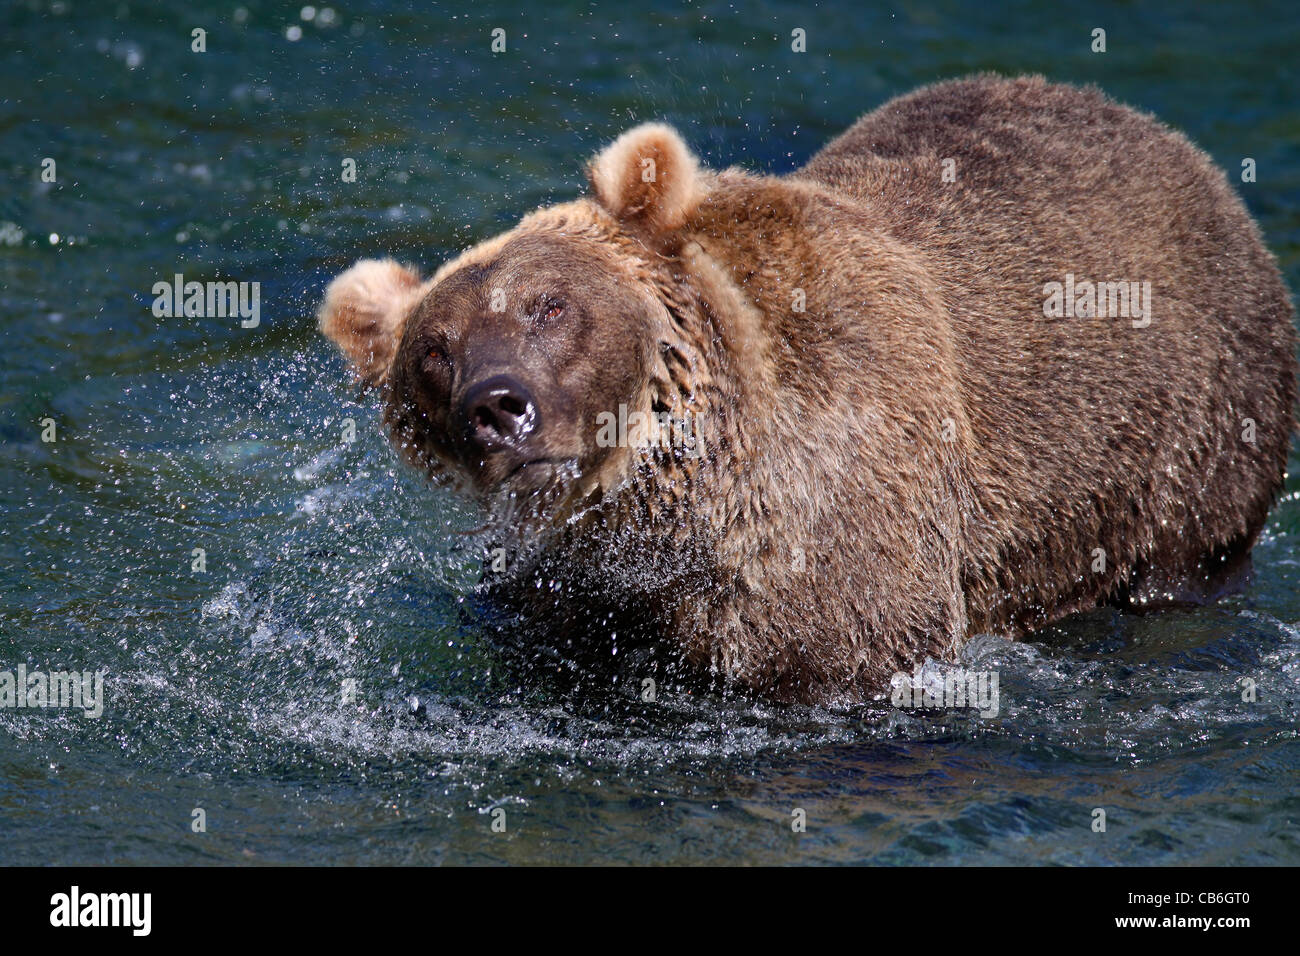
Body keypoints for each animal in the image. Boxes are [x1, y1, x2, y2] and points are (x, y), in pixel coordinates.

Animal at [317, 76, 1300, 702]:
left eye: (549, 305)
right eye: (435, 351)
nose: (497, 407)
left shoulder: (836, 539)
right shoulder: (568, 596)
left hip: (1193, 434)